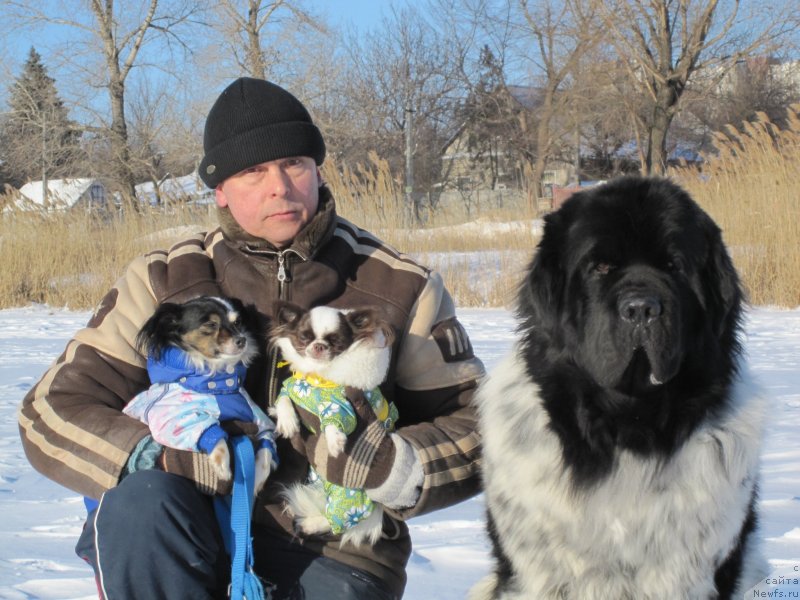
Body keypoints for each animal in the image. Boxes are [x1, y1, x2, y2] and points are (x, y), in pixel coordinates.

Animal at [122, 292, 278, 494]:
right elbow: (210, 431)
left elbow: (266, 450)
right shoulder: (170, 417)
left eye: (237, 323)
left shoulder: (260, 421)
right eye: (211, 325)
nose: (242, 340)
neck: (218, 382)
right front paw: (222, 466)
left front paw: (256, 480)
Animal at [268, 302, 394, 548]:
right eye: (304, 337)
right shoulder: (291, 388)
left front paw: (335, 441)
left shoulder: (341, 406)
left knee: (341, 520)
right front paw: (287, 422)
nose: (318, 346)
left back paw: (309, 524)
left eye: (336, 341)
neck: (319, 380)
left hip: (348, 497)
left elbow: (334, 421)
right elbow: (284, 399)